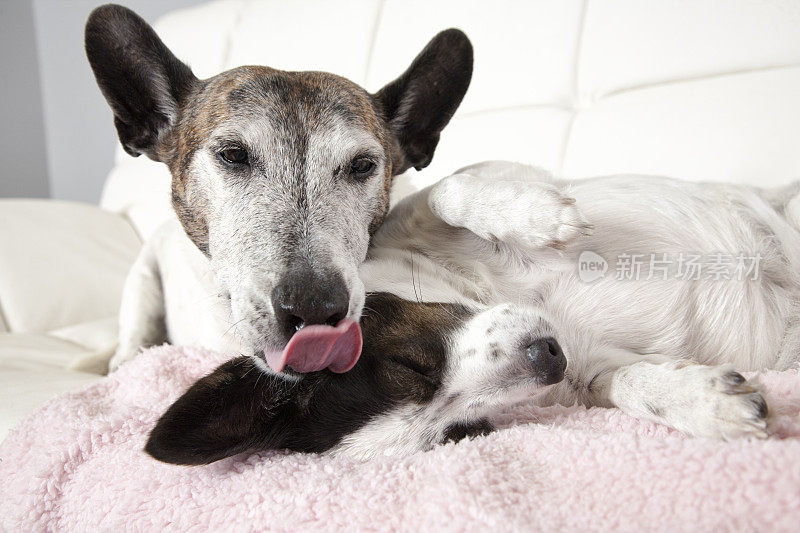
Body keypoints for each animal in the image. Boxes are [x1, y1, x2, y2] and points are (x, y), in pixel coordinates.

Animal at [144, 161, 800, 462]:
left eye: (410, 365)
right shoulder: (593, 368)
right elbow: (626, 384)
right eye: (463, 433)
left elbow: (446, 189)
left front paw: (540, 215)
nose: (548, 356)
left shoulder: (413, 214)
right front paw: (704, 402)